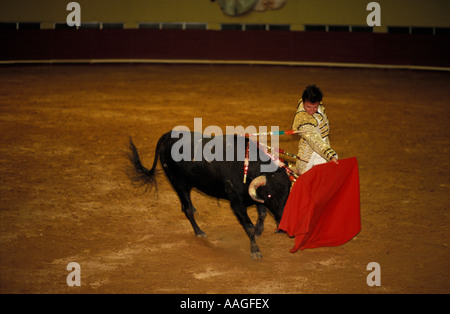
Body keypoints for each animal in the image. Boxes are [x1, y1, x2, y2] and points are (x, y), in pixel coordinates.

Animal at [128, 131, 290, 258]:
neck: (245, 166)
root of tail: (168, 135)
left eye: (288, 192)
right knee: (186, 209)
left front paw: (258, 231)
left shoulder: (255, 197)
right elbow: (248, 226)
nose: (283, 223)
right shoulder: (236, 203)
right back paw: (199, 232)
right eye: (270, 196)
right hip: (178, 183)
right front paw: (255, 250)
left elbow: (262, 214)